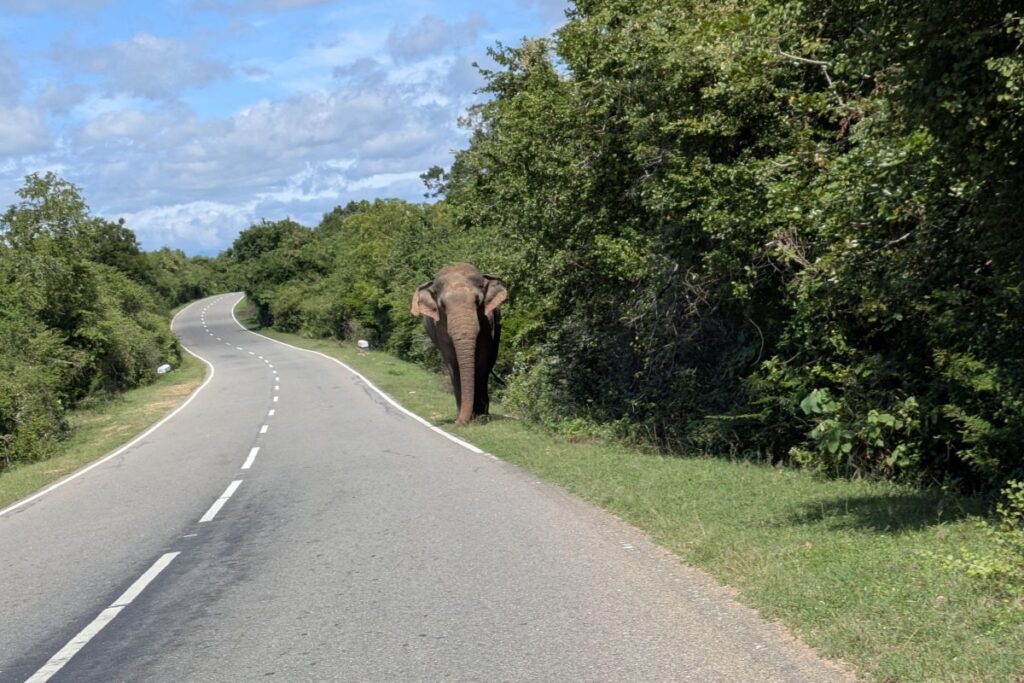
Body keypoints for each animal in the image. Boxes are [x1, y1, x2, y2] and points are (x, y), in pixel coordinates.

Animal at [411, 263, 508, 425]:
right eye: (442, 306)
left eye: (478, 302)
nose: (458, 423)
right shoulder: (439, 328)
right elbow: (452, 361)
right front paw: (465, 417)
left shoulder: (488, 321)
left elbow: (481, 360)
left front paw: (479, 418)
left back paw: (483, 414)